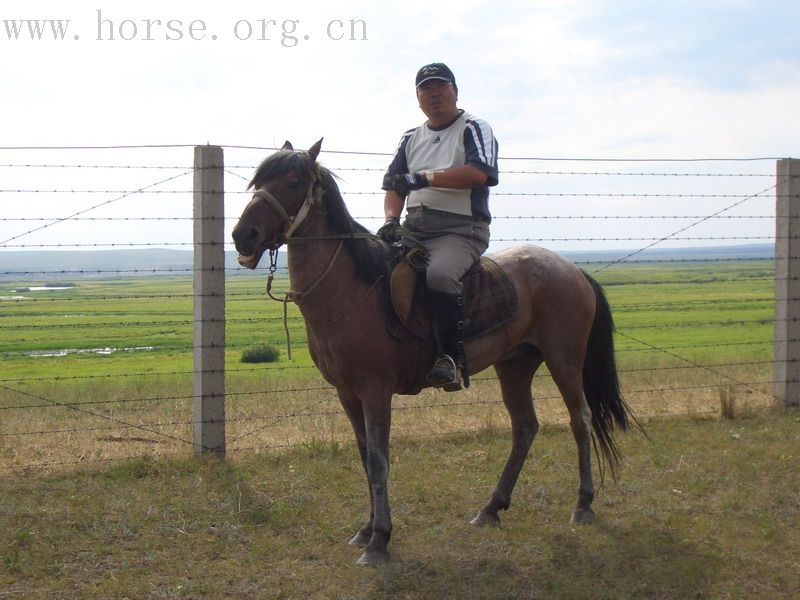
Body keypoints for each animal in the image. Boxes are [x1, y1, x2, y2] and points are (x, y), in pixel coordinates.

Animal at [231, 141, 632, 568]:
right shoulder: (347, 393)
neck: (351, 289)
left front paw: (379, 540)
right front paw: (366, 530)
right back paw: (491, 507)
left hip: (564, 360)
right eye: (259, 182)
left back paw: (583, 504)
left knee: (581, 420)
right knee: (525, 426)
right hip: (515, 365)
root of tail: (572, 269)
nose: (243, 235)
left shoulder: (375, 391)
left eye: (292, 182)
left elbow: (379, 460)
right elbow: (365, 457)